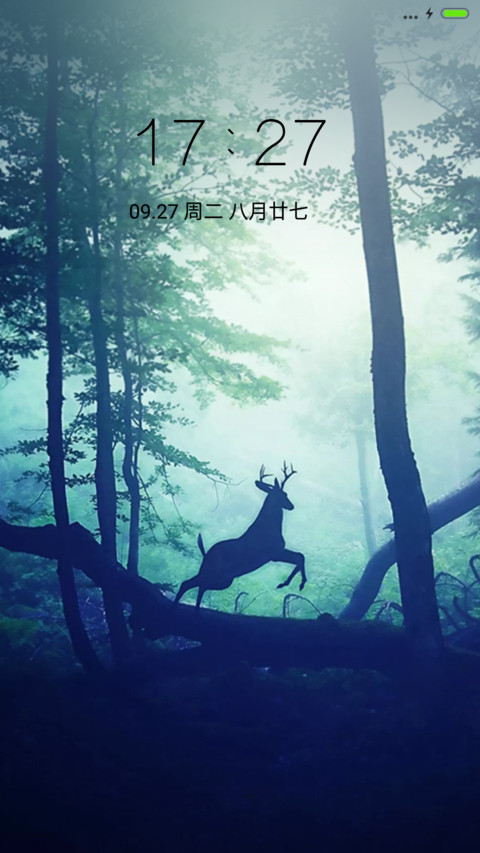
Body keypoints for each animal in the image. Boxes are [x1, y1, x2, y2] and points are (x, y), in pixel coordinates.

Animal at [174, 462, 306, 608]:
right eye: (284, 494)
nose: (291, 506)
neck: (270, 528)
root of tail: (206, 554)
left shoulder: (276, 553)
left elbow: (300, 556)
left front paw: (291, 583)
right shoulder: (274, 553)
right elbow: (300, 557)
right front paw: (294, 583)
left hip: (222, 579)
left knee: (192, 585)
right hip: (213, 572)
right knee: (196, 585)